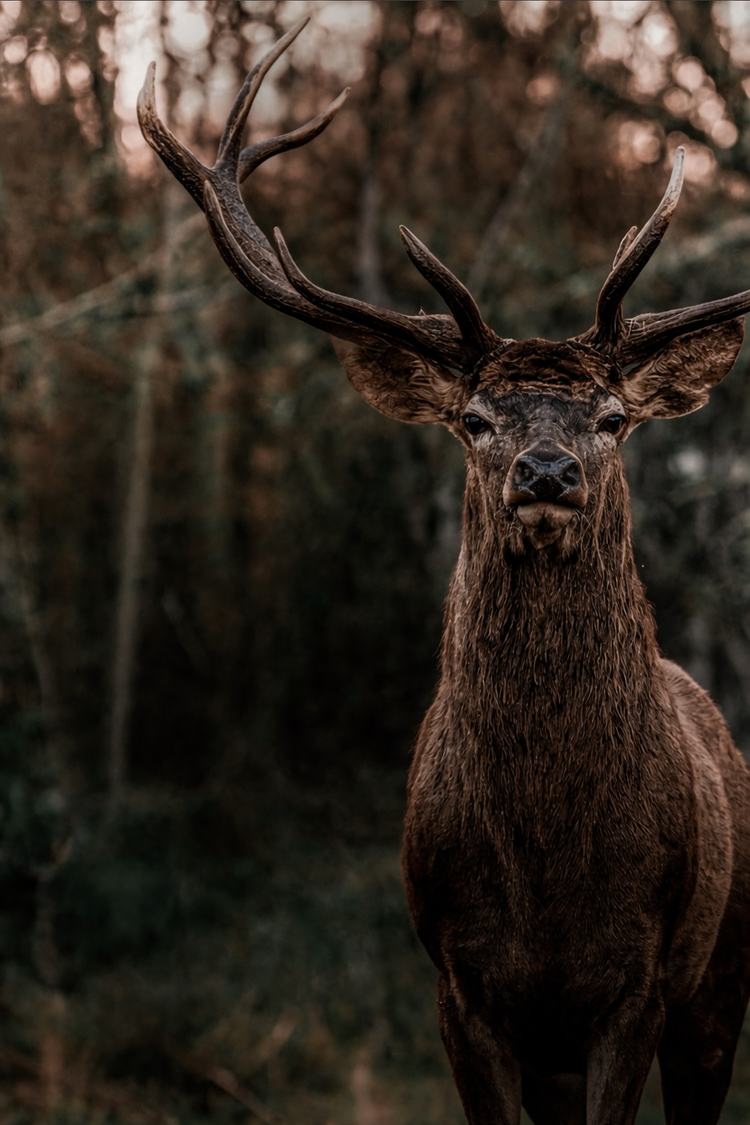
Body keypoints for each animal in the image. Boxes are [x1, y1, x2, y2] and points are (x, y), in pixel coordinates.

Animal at [138, 21, 750, 1125]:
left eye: (612, 418)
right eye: (472, 418)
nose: (545, 471)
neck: (550, 875)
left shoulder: (638, 984)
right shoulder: (458, 987)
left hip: (722, 971)